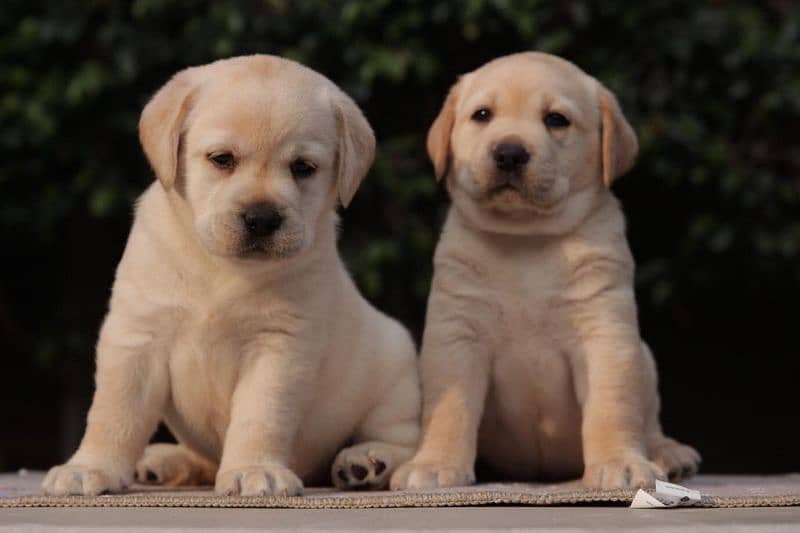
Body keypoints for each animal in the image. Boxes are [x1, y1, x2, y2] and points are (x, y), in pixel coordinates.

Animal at [42, 56, 418, 496]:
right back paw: (161, 462)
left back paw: (366, 461)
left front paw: (254, 469)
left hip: (395, 372)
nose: (262, 218)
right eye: (222, 159)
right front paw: (90, 467)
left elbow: (260, 416)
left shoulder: (278, 348)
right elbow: (115, 411)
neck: (222, 269)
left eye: (303, 168)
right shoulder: (137, 337)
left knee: (400, 437)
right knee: (201, 460)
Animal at [392, 52, 700, 488]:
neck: (527, 238)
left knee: (650, 421)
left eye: (556, 119)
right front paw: (434, 464)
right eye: (482, 115)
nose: (509, 153)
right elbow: (449, 408)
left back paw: (669, 453)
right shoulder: (456, 335)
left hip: (645, 358)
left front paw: (621, 462)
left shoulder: (605, 334)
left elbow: (612, 406)